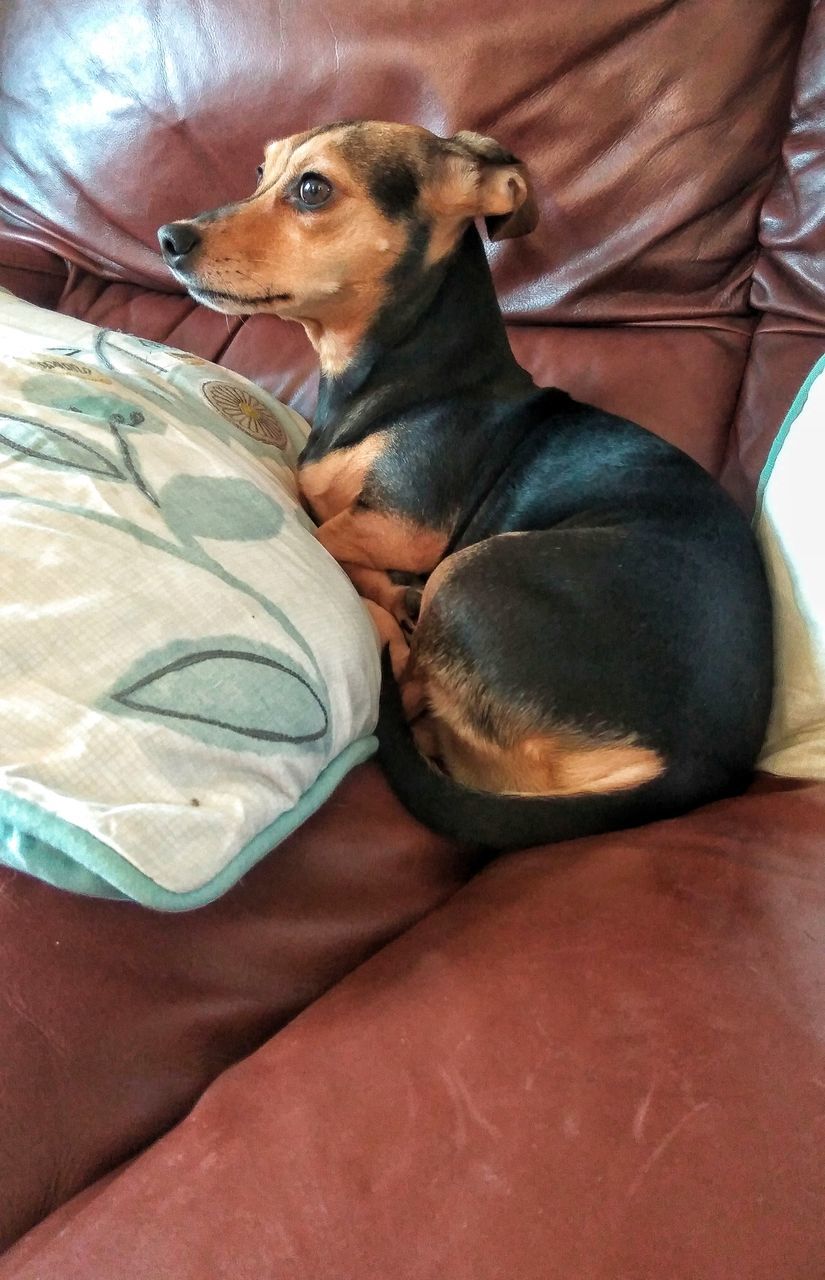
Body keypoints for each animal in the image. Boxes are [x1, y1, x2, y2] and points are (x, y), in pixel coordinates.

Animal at [159, 120, 772, 849]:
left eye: (312, 189)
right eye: (260, 172)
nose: (168, 238)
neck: (404, 370)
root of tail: (693, 771)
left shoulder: (406, 528)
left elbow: (325, 531)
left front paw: (380, 592)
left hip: (467, 568)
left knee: (411, 682)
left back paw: (390, 619)